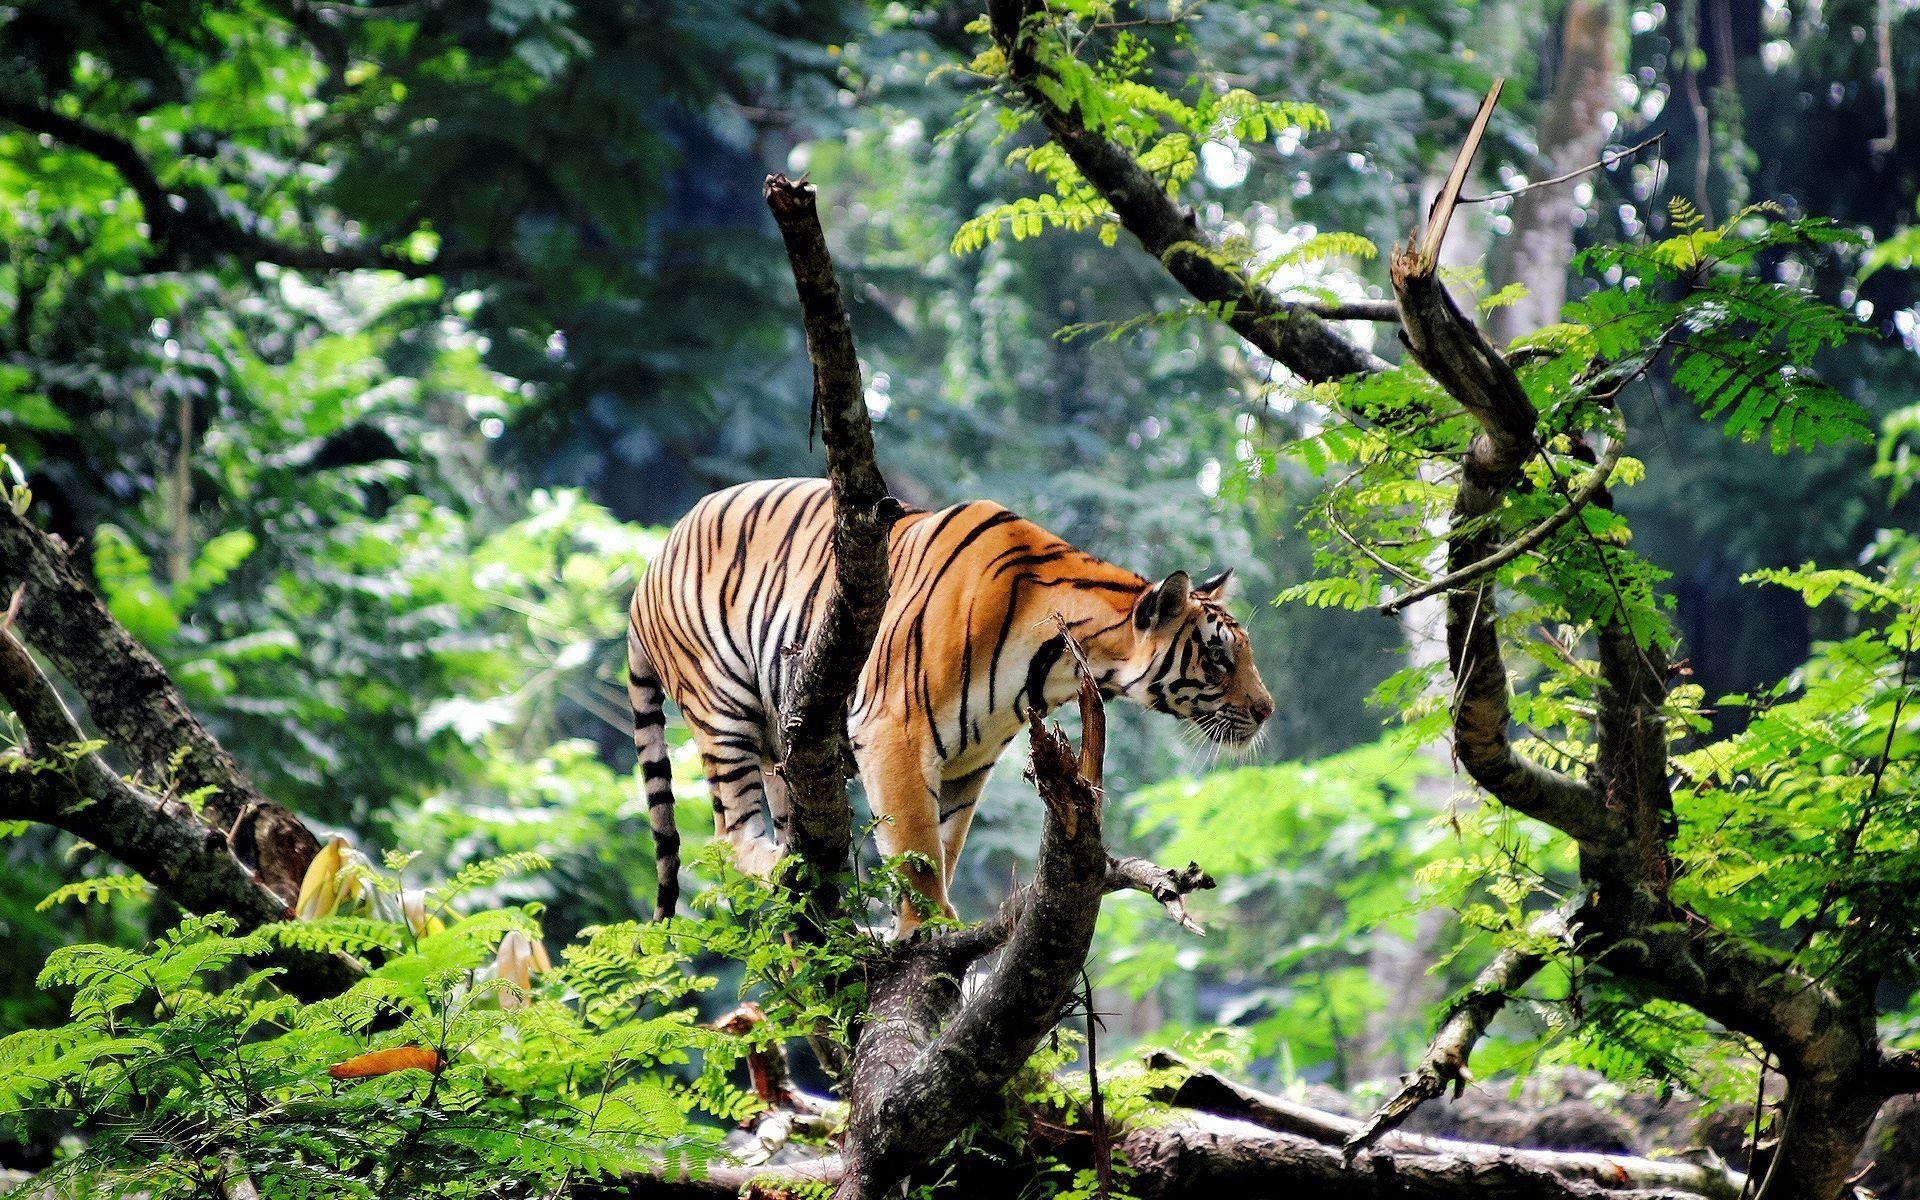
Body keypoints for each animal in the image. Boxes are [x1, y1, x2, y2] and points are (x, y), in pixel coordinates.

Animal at [629, 478, 1274, 925]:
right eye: (1220, 658)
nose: (1267, 710)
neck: (1058, 664)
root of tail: (649, 564)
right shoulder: (895, 730)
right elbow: (916, 847)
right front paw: (928, 928)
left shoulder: (970, 759)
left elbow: (945, 843)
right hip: (722, 708)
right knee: (728, 836)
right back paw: (787, 869)